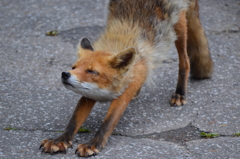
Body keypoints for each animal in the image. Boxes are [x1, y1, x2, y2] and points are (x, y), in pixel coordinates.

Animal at [39, 0, 214, 157]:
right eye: (74, 67)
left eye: (92, 71)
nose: (65, 74)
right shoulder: (88, 94)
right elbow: (74, 121)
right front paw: (60, 140)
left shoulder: (124, 94)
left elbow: (108, 123)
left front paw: (93, 145)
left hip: (178, 25)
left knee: (185, 61)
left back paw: (180, 93)